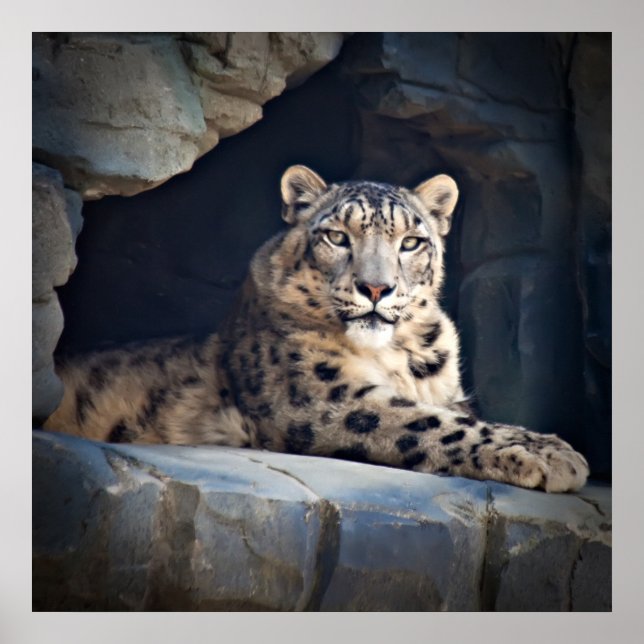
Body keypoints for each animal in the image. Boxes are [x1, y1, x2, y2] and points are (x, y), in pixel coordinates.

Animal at [44, 164, 589, 493]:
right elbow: (431, 423)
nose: (376, 287)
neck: (398, 356)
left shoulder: (448, 394)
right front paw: (556, 455)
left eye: (411, 242)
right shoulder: (321, 397)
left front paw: (548, 446)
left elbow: (462, 416)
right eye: (336, 236)